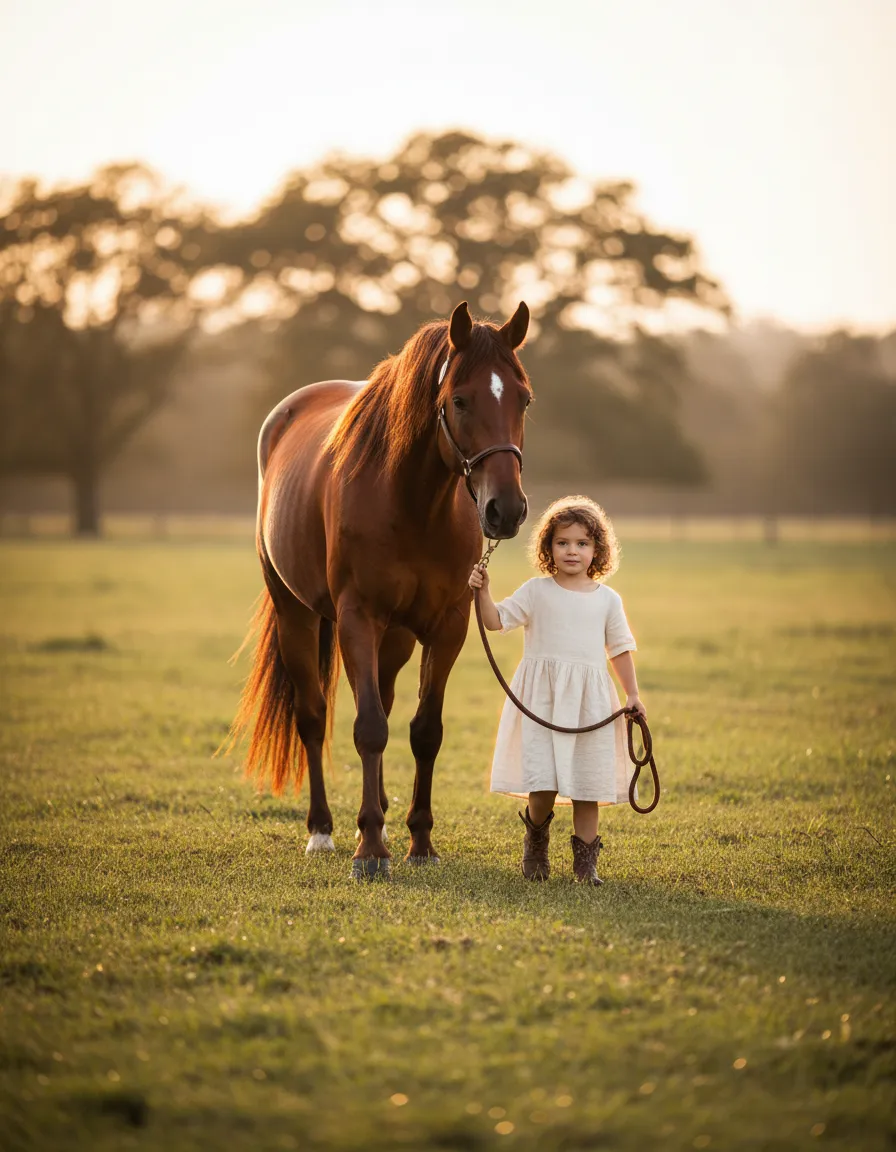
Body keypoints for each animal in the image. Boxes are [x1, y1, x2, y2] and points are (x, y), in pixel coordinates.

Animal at [230, 300, 532, 878]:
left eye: (523, 398)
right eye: (460, 399)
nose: (505, 510)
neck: (414, 502)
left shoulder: (447, 626)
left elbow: (424, 730)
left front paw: (419, 841)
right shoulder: (357, 618)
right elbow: (367, 727)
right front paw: (369, 850)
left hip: (396, 638)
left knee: (387, 704)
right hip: (296, 614)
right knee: (312, 715)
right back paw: (323, 830)